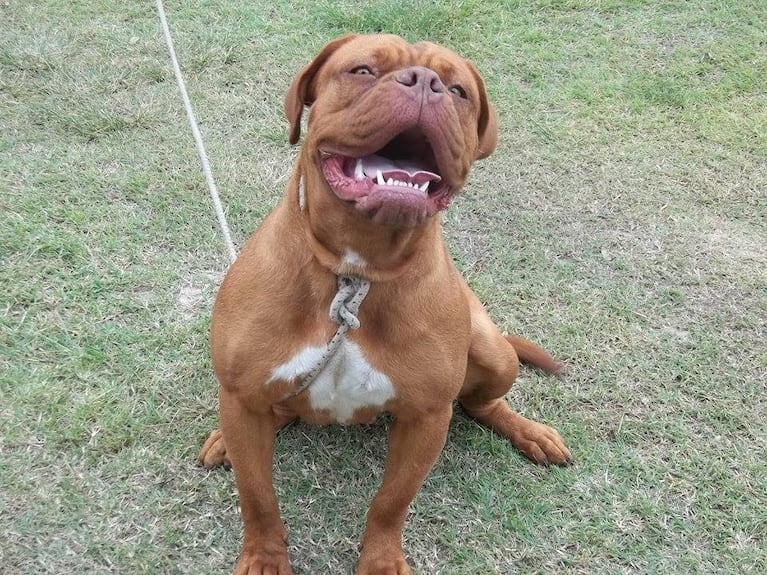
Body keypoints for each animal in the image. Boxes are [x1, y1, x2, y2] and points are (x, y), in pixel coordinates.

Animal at [198, 33, 568, 572]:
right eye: (363, 71)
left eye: (457, 89)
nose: (424, 82)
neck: (357, 270)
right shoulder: (242, 398)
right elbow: (258, 495)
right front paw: (264, 557)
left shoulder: (427, 417)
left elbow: (392, 501)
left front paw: (381, 560)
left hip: (493, 352)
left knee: (481, 402)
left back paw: (529, 431)